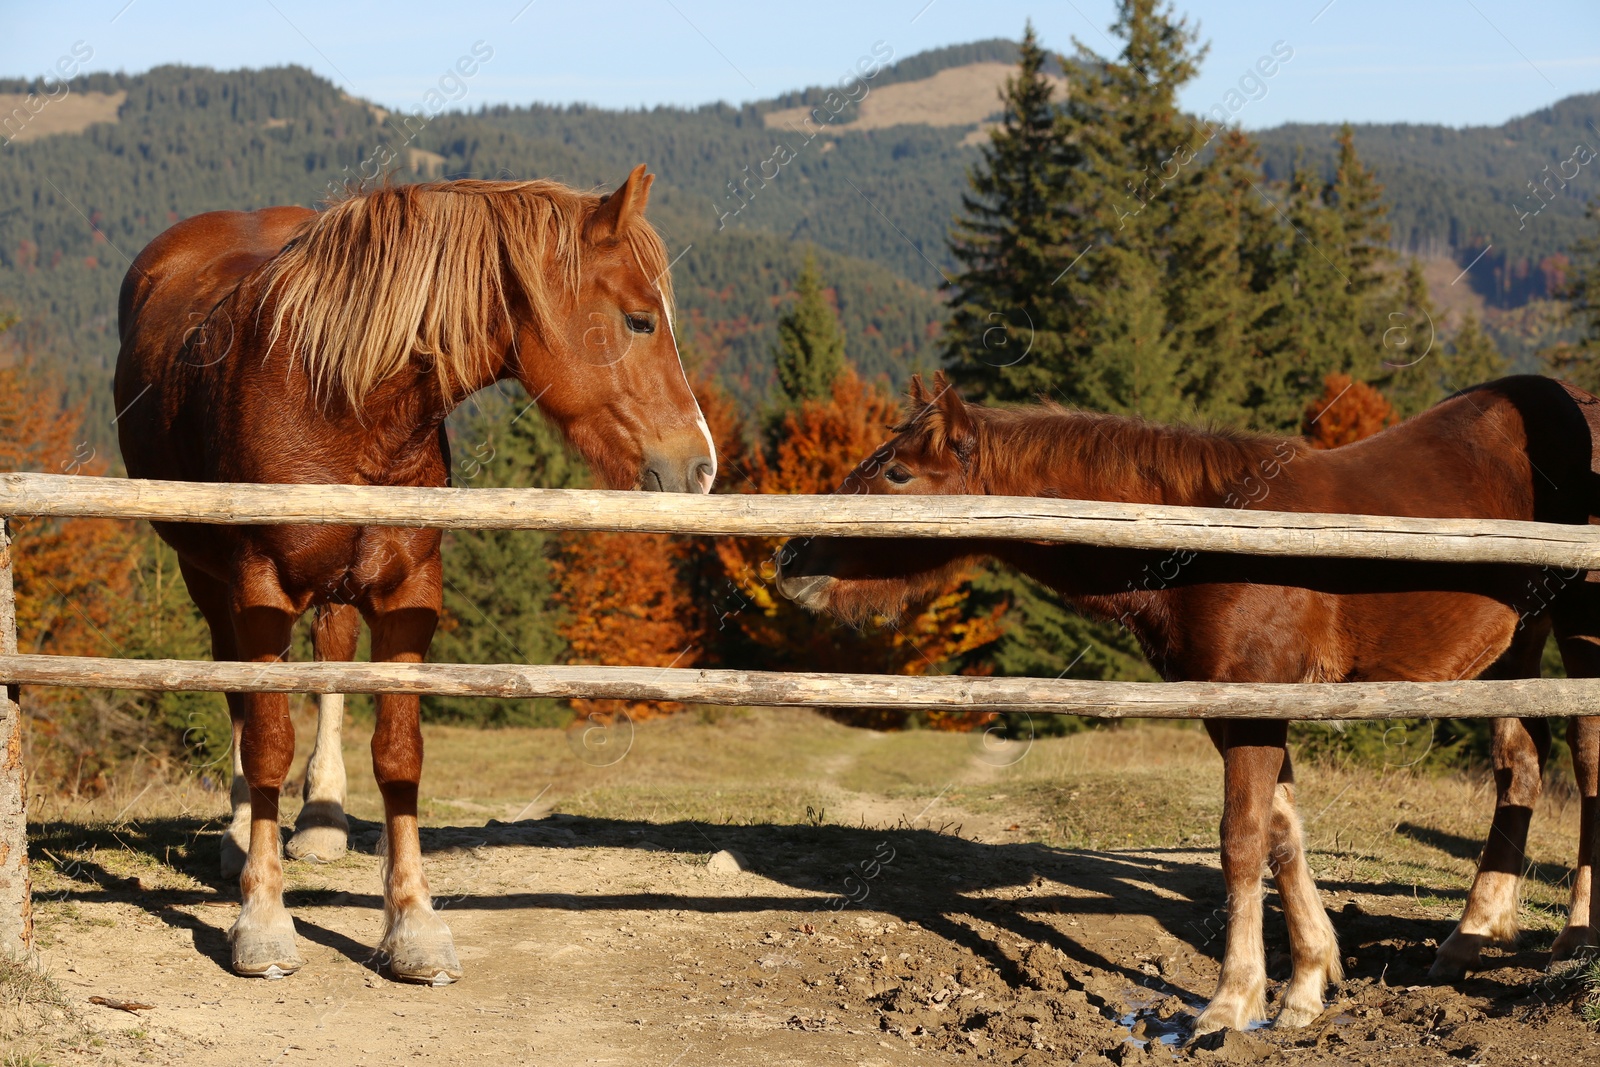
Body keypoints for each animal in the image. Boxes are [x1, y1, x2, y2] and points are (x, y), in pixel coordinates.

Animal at [112, 167, 713, 985]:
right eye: (641, 320)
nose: (701, 465)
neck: (338, 399)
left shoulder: (409, 593)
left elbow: (400, 753)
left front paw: (414, 924)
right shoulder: (258, 588)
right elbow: (266, 738)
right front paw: (262, 919)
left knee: (330, 660)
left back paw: (323, 818)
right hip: (205, 575)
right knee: (236, 689)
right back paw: (239, 835)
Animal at [774, 375, 1600, 1036]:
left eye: (898, 471)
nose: (789, 561)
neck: (1214, 536)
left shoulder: (1257, 705)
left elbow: (1241, 842)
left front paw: (1232, 1001)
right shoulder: (1232, 709)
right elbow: (1282, 835)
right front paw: (1306, 982)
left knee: (1587, 765)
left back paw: (1576, 937)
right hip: (1514, 647)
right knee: (1521, 763)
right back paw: (1470, 934)